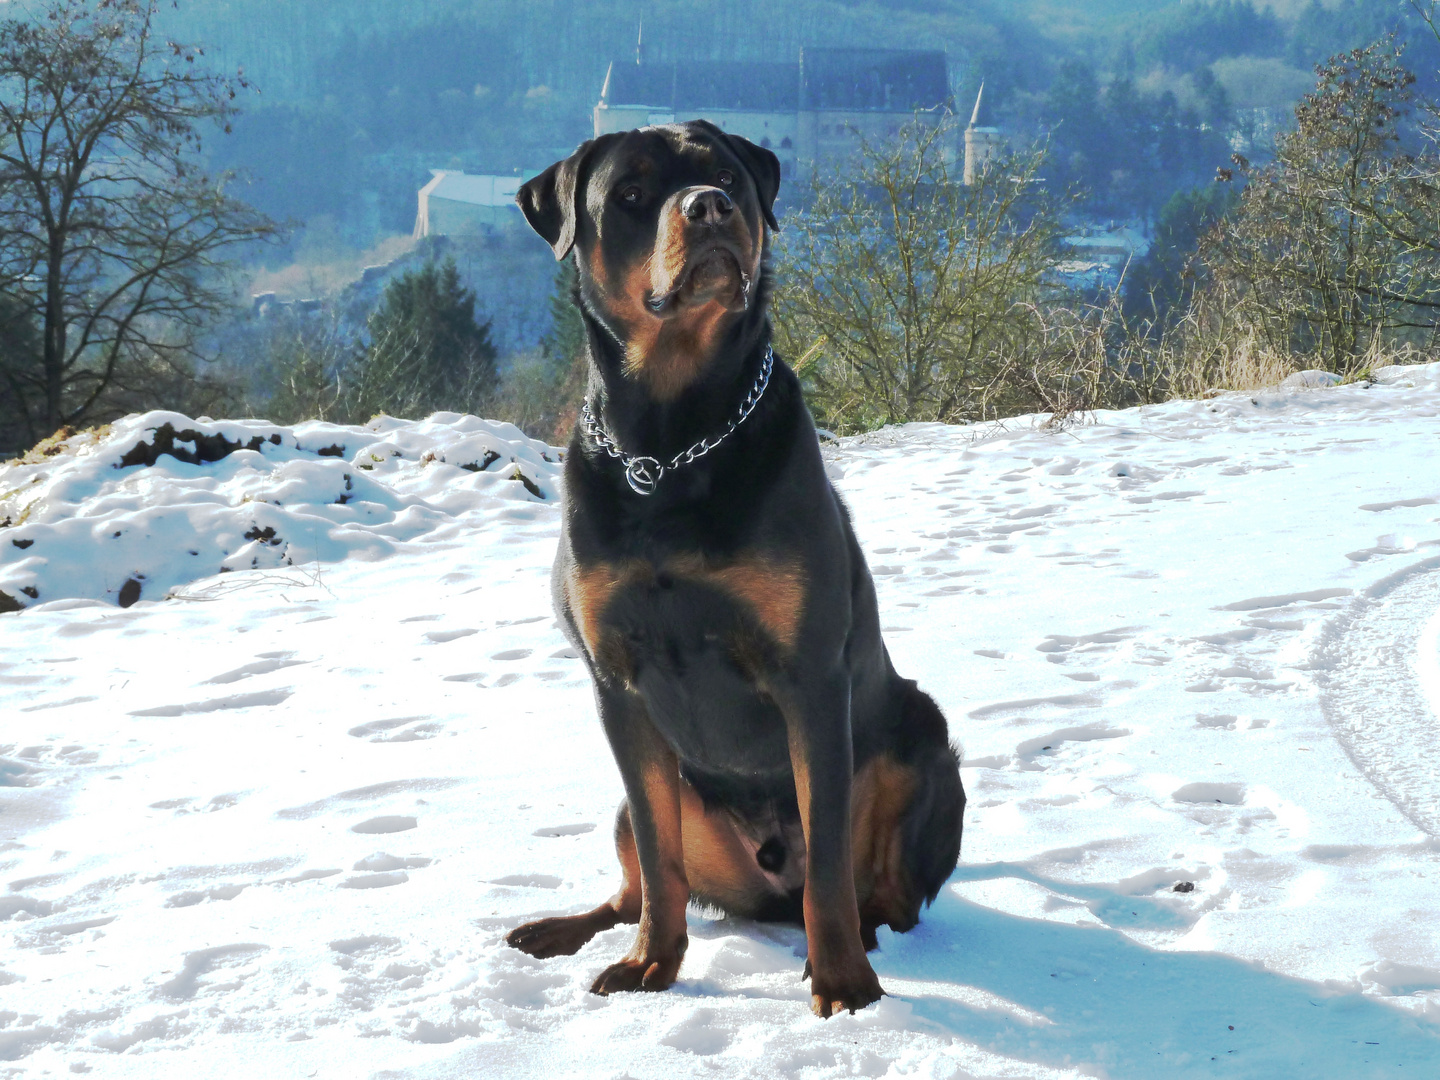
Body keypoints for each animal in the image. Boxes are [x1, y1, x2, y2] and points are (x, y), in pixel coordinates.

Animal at [506, 122, 967, 1019]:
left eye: (726, 175)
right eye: (630, 193)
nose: (710, 206)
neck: (670, 443)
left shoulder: (809, 675)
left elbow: (828, 861)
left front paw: (844, 984)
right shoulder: (617, 687)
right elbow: (660, 864)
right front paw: (653, 965)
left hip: (923, 740)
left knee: (882, 891)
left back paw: (868, 933)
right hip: (636, 805)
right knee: (635, 882)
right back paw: (563, 930)